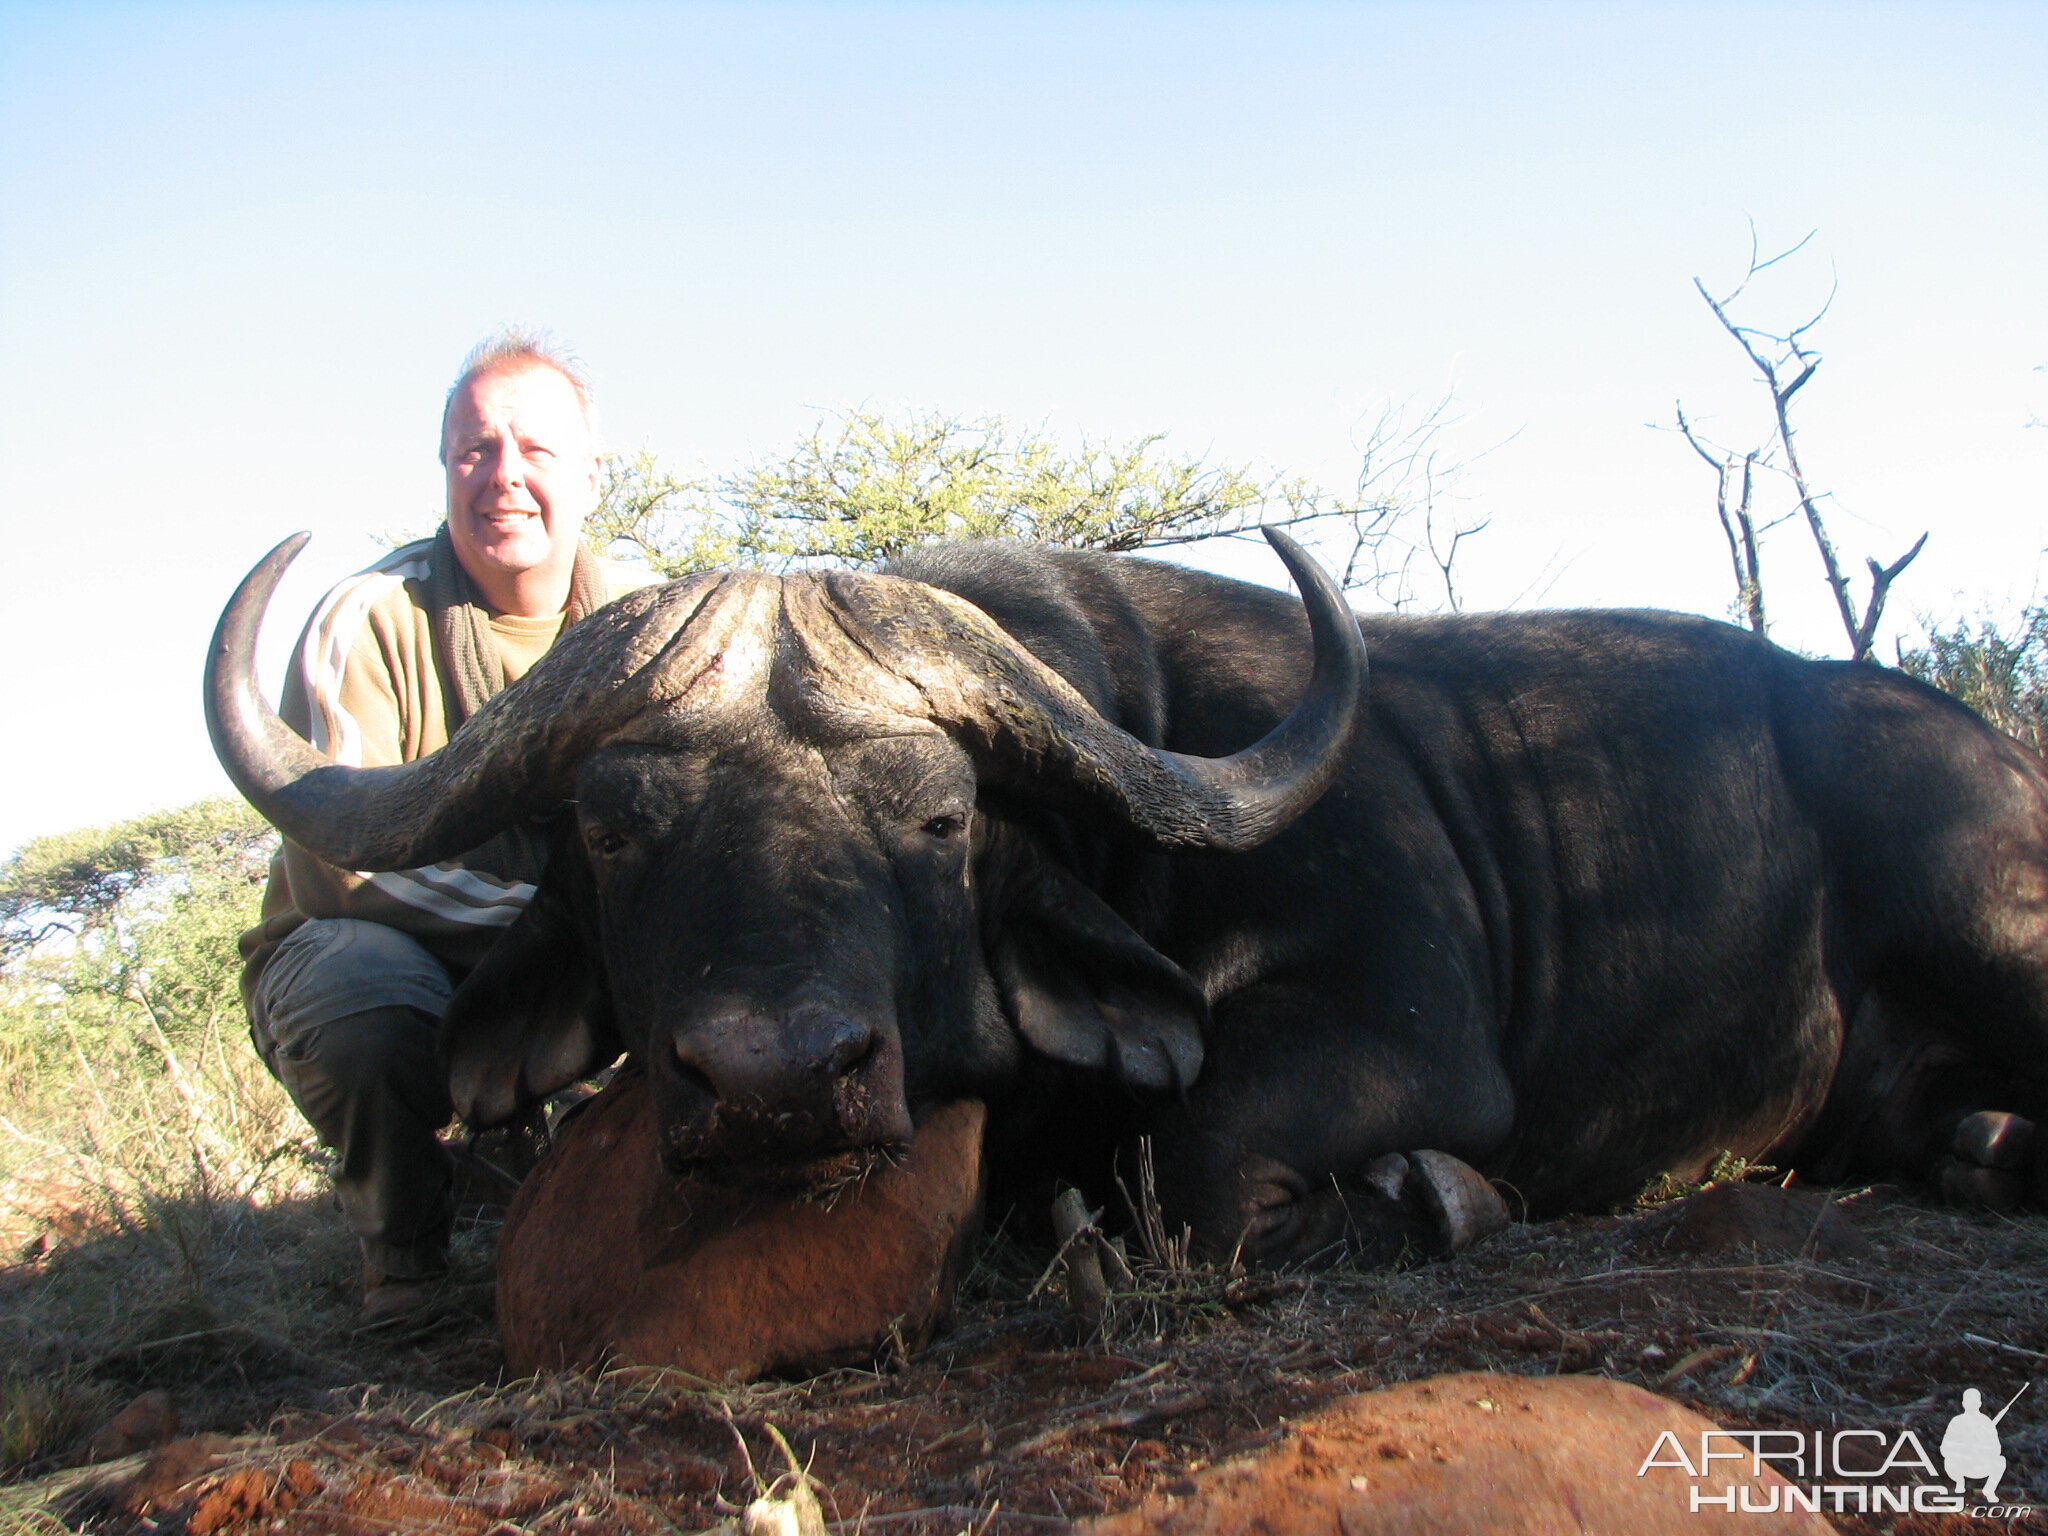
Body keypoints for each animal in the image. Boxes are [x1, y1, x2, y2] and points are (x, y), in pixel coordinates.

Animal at [203, 536, 2048, 1269]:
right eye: (608, 828)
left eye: (939, 818)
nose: (777, 1081)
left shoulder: (1403, 1041)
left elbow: (1196, 1162)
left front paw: (1431, 1199)